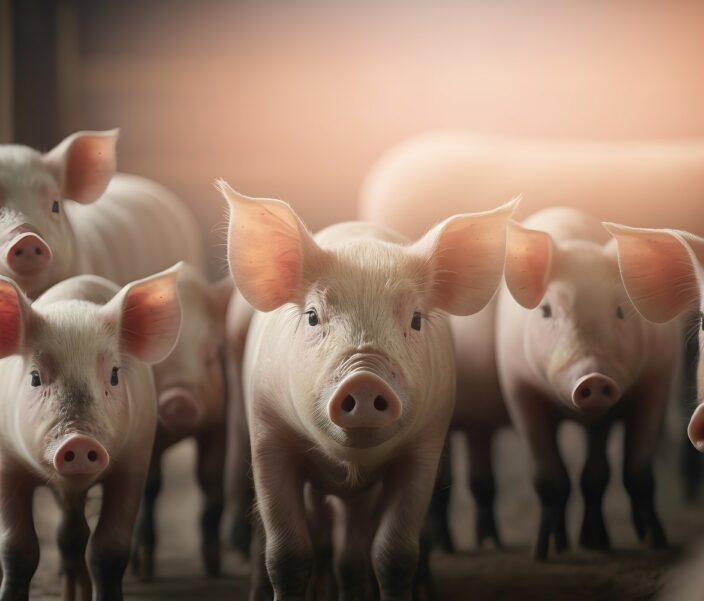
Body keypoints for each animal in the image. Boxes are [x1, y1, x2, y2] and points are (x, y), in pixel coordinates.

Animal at [0, 265, 182, 601]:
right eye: (34, 377)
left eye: (114, 375)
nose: (80, 440)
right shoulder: (7, 462)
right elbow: (17, 549)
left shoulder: (134, 461)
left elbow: (108, 549)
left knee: (74, 534)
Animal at [131, 264, 233, 580]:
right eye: (155, 359)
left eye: (212, 352)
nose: (179, 398)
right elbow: (150, 487)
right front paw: (144, 570)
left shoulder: (218, 424)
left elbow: (210, 478)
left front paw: (214, 567)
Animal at [217, 179, 516, 600]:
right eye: (313, 316)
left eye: (416, 319)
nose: (363, 378)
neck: (349, 464)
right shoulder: (268, 436)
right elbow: (287, 555)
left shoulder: (424, 446)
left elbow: (394, 555)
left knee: (350, 554)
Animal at [496, 207, 680, 560]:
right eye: (546, 310)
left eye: (621, 311)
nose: (593, 377)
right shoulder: (519, 388)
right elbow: (548, 479)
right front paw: (542, 553)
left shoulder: (656, 381)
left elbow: (637, 472)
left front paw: (657, 543)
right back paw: (572, 544)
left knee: (595, 476)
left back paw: (597, 543)